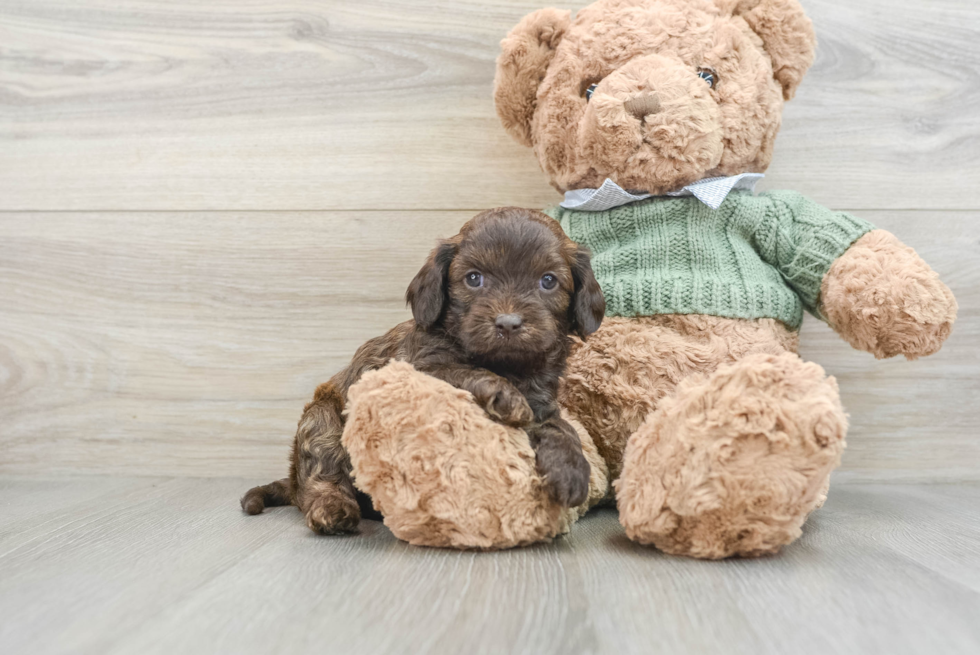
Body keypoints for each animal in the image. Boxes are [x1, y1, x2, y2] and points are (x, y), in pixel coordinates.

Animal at [241, 208, 600, 536]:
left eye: (548, 281)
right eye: (473, 278)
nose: (508, 323)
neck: (506, 364)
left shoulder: (542, 400)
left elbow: (560, 427)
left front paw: (571, 469)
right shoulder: (418, 368)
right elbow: (463, 370)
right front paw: (504, 394)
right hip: (322, 419)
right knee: (321, 472)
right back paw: (332, 508)